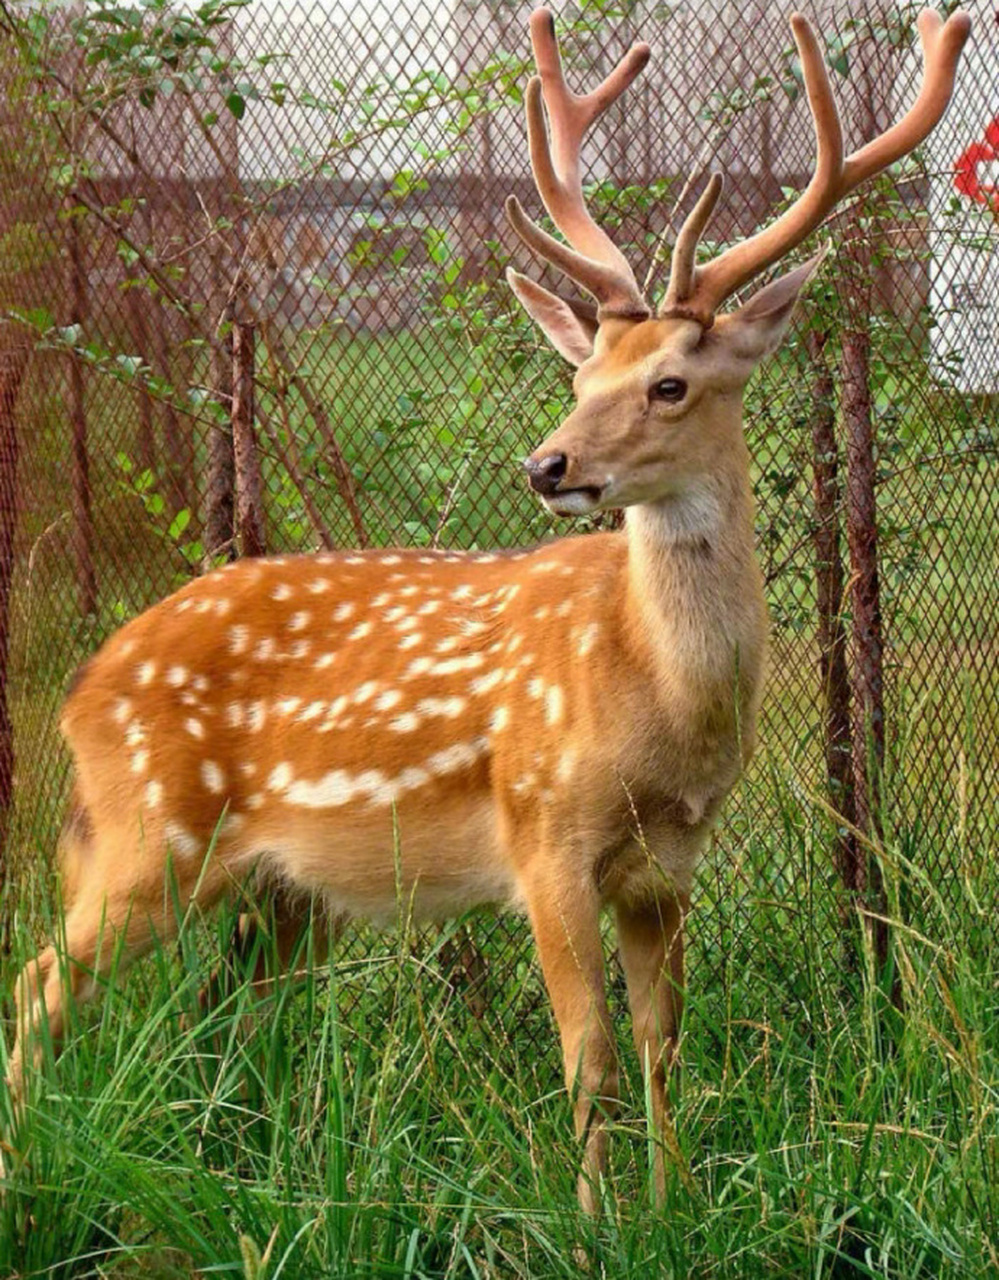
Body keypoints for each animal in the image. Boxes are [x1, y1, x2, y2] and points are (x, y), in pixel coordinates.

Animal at [5, 7, 968, 1208]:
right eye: (580, 375)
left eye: (668, 384)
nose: (547, 464)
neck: (659, 703)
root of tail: (83, 689)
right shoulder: (543, 829)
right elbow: (589, 1056)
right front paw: (600, 1222)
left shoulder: (669, 865)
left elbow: (661, 1045)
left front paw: (674, 1206)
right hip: (145, 831)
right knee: (40, 985)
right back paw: (34, 1165)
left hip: (281, 891)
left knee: (216, 1014)